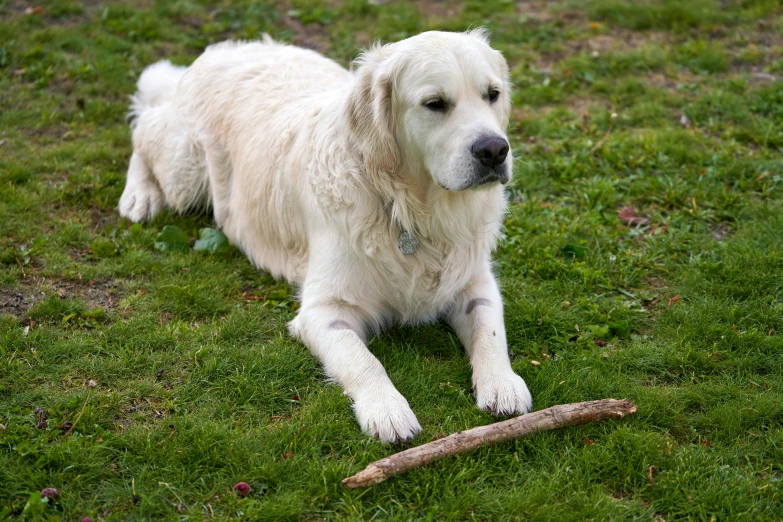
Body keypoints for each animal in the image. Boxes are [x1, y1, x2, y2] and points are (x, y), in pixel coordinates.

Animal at [119, 28, 536, 440]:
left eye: (492, 94)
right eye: (435, 103)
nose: (494, 150)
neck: (411, 210)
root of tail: (225, 50)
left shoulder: (474, 280)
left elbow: (490, 331)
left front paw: (503, 383)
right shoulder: (323, 311)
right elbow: (363, 360)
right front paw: (387, 411)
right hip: (185, 176)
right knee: (143, 131)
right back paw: (139, 196)